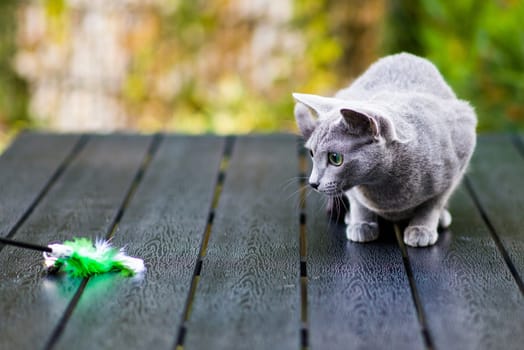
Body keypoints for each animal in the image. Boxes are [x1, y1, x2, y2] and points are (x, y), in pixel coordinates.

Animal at [292, 53, 476, 247]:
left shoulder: (459, 154)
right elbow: (357, 201)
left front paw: (421, 229)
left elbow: (433, 204)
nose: (312, 183)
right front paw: (361, 224)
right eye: (312, 153)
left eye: (335, 158)